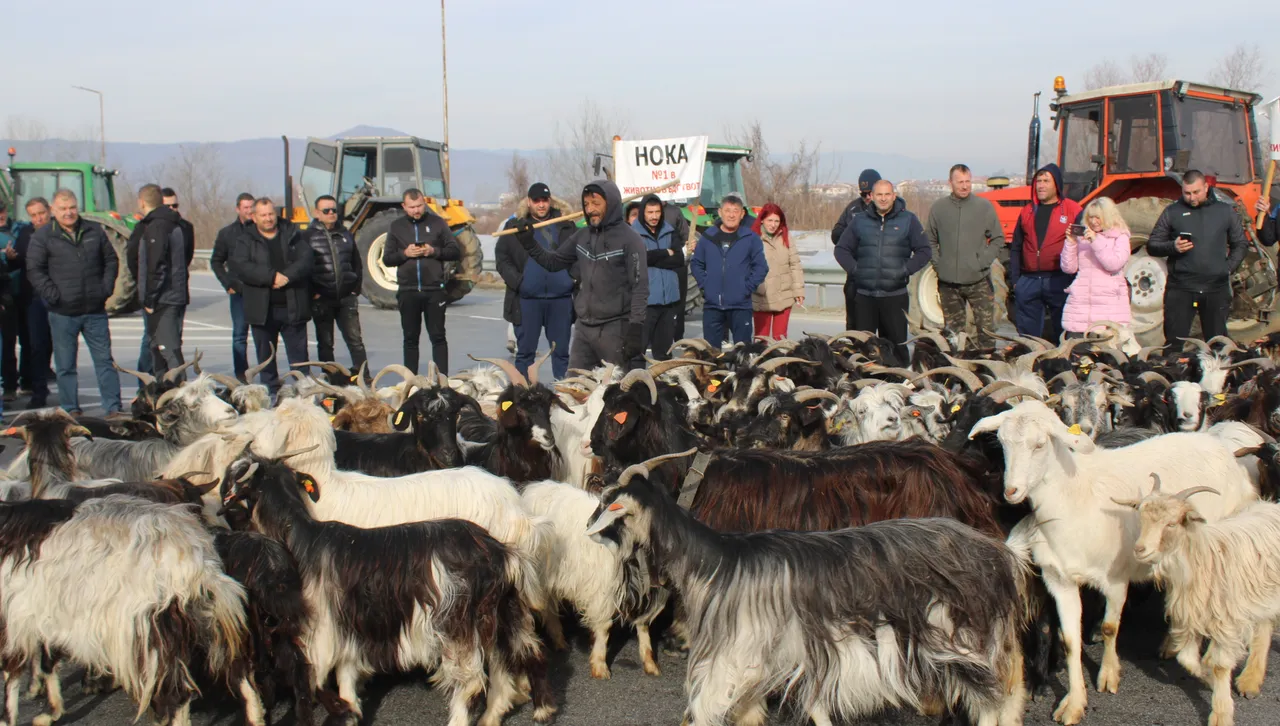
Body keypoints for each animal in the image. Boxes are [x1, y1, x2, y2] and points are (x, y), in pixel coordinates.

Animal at [967, 399, 1249, 722]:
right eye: (1002, 443)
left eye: (1040, 444)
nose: (1011, 491)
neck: (1076, 498)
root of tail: (1218, 446)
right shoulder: (1059, 580)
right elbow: (1070, 640)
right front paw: (1074, 703)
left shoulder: (1115, 579)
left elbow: (1109, 628)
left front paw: (1108, 675)